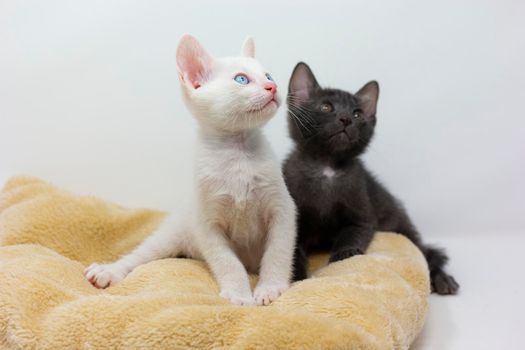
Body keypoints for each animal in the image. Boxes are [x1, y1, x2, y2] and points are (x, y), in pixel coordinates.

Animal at [86, 34, 298, 304]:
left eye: (268, 75)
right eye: (241, 79)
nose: (273, 87)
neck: (237, 154)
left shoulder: (283, 209)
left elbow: (277, 252)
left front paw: (270, 288)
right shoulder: (206, 223)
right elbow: (227, 262)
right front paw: (239, 295)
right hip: (173, 233)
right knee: (142, 255)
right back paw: (109, 271)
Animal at [282, 62, 458, 296]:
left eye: (357, 114)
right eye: (326, 107)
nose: (346, 119)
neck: (326, 167)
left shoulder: (362, 213)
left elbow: (350, 235)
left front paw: (344, 256)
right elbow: (293, 252)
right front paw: (297, 278)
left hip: (401, 224)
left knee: (426, 253)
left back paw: (442, 279)